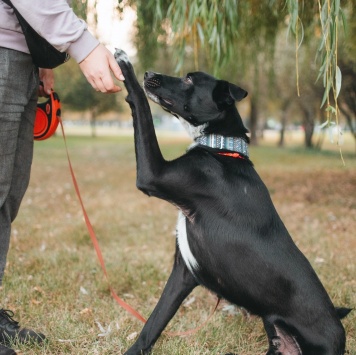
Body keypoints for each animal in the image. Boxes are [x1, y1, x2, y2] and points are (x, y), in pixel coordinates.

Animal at [114, 50, 350, 355]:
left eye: (189, 79)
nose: (149, 74)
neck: (222, 147)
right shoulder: (183, 272)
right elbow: (153, 324)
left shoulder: (153, 174)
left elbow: (141, 106)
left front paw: (124, 65)